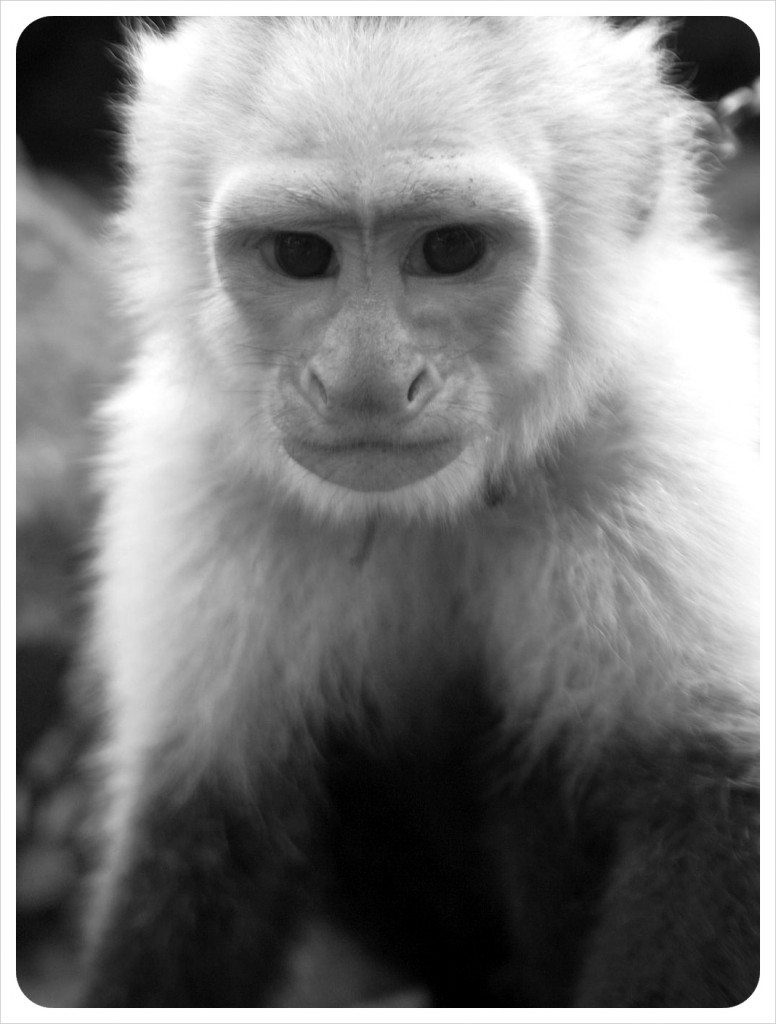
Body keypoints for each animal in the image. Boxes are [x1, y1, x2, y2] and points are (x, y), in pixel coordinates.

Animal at [80, 16, 759, 1009]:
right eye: (301, 256)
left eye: (449, 249)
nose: (364, 381)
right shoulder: (194, 476)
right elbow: (202, 831)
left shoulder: (664, 431)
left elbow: (710, 796)